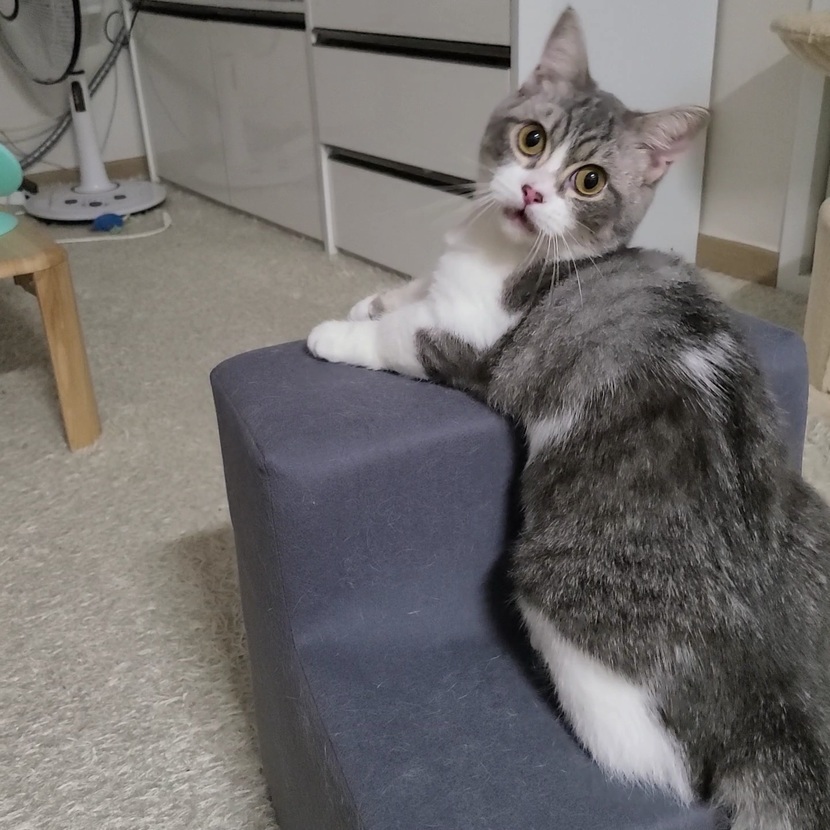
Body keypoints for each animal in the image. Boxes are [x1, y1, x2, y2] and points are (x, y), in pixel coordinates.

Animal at [308, 7, 830, 828]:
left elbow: (402, 335)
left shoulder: (475, 345)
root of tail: (776, 706)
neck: (503, 249)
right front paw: (371, 296)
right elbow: (414, 285)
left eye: (589, 182)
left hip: (556, 603)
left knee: (664, 765)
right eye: (530, 139)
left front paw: (337, 331)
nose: (530, 192)